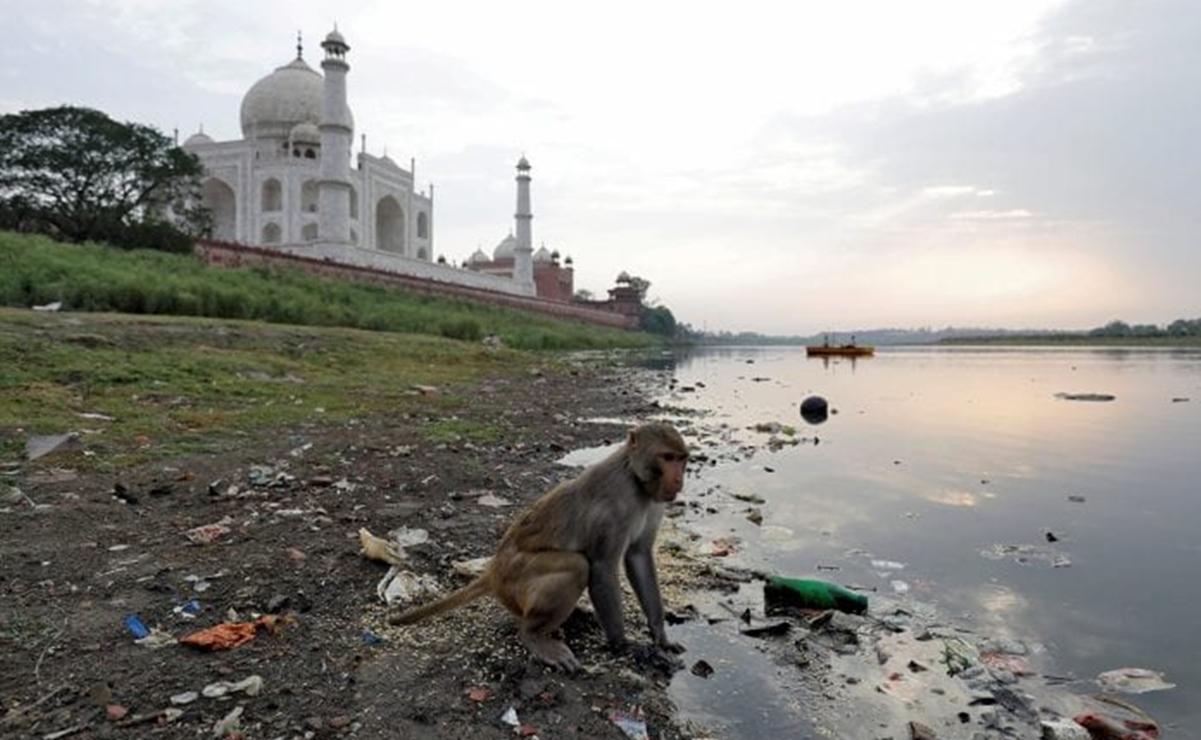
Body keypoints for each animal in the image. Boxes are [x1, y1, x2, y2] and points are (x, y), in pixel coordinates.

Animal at [389, 422, 691, 672]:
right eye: (667, 458)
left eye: (681, 459)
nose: (678, 480)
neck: (635, 479)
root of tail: (493, 570)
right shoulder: (613, 509)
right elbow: (603, 568)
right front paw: (624, 645)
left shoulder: (654, 502)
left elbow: (639, 557)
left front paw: (660, 635)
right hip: (515, 578)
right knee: (577, 566)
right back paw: (534, 636)